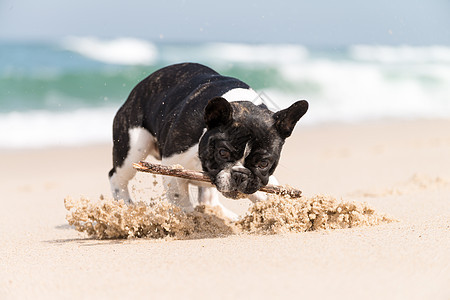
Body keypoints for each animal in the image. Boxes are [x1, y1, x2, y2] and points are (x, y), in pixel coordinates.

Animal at [109, 62, 308, 218]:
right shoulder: (173, 167)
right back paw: (126, 208)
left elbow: (266, 190)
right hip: (133, 148)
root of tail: (137, 89)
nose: (239, 174)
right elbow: (180, 199)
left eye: (264, 163)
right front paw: (192, 220)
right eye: (223, 153)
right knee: (117, 177)